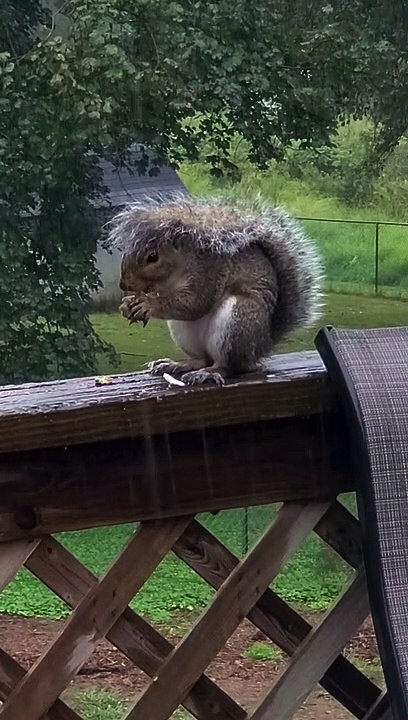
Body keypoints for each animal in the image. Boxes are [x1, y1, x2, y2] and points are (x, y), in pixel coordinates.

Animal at [107, 193, 324, 386]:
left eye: (153, 257)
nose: (124, 285)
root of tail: (262, 346)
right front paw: (127, 305)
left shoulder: (209, 272)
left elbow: (196, 303)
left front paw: (148, 304)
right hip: (183, 332)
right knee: (201, 359)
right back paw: (176, 365)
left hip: (238, 321)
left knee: (227, 366)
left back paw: (207, 373)